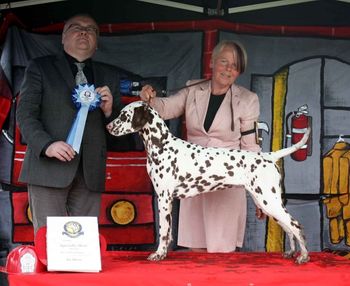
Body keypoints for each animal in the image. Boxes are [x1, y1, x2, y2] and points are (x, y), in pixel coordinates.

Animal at [107, 100, 312, 264]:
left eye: (124, 116)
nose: (108, 126)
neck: (162, 146)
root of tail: (268, 156)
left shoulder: (164, 199)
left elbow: (163, 231)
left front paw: (158, 254)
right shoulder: (168, 201)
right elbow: (168, 233)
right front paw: (163, 253)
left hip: (269, 201)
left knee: (295, 225)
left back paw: (303, 256)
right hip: (268, 203)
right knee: (288, 227)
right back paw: (291, 252)